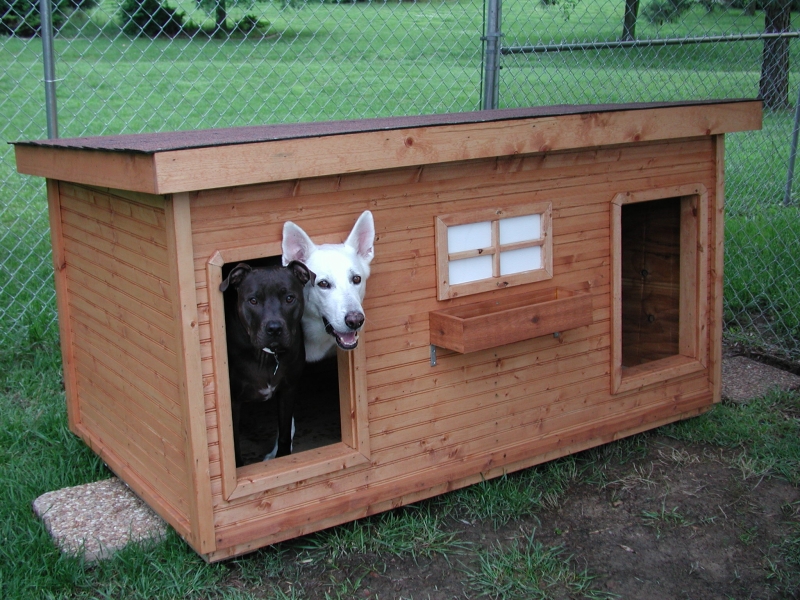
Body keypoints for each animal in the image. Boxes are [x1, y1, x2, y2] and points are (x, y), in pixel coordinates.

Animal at [223, 262, 318, 468]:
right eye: (253, 300)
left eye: (289, 298)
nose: (274, 328)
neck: (267, 356)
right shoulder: (233, 401)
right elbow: (233, 442)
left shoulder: (288, 390)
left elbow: (284, 432)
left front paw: (282, 457)